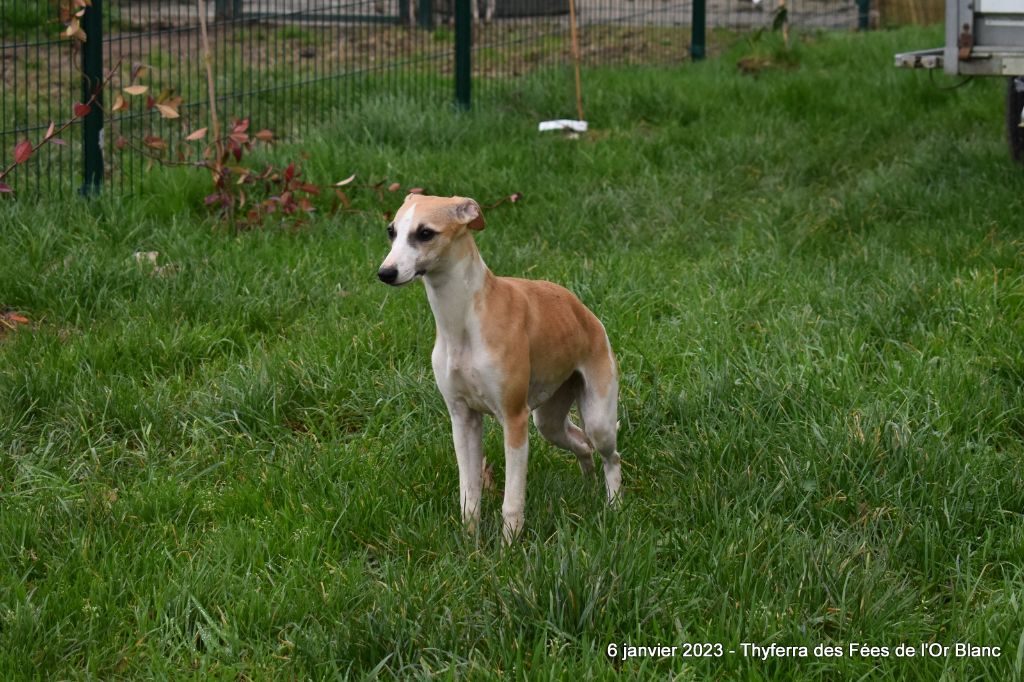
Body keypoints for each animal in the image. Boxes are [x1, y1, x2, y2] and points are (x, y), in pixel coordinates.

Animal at [376, 192, 614, 540]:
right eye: (392, 231)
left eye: (425, 233)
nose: (386, 273)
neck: (463, 320)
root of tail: (583, 310)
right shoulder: (462, 419)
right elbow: (469, 494)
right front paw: (470, 543)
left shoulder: (514, 420)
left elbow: (512, 502)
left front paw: (509, 547)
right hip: (550, 422)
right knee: (582, 443)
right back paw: (588, 487)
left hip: (599, 418)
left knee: (611, 457)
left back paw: (615, 506)